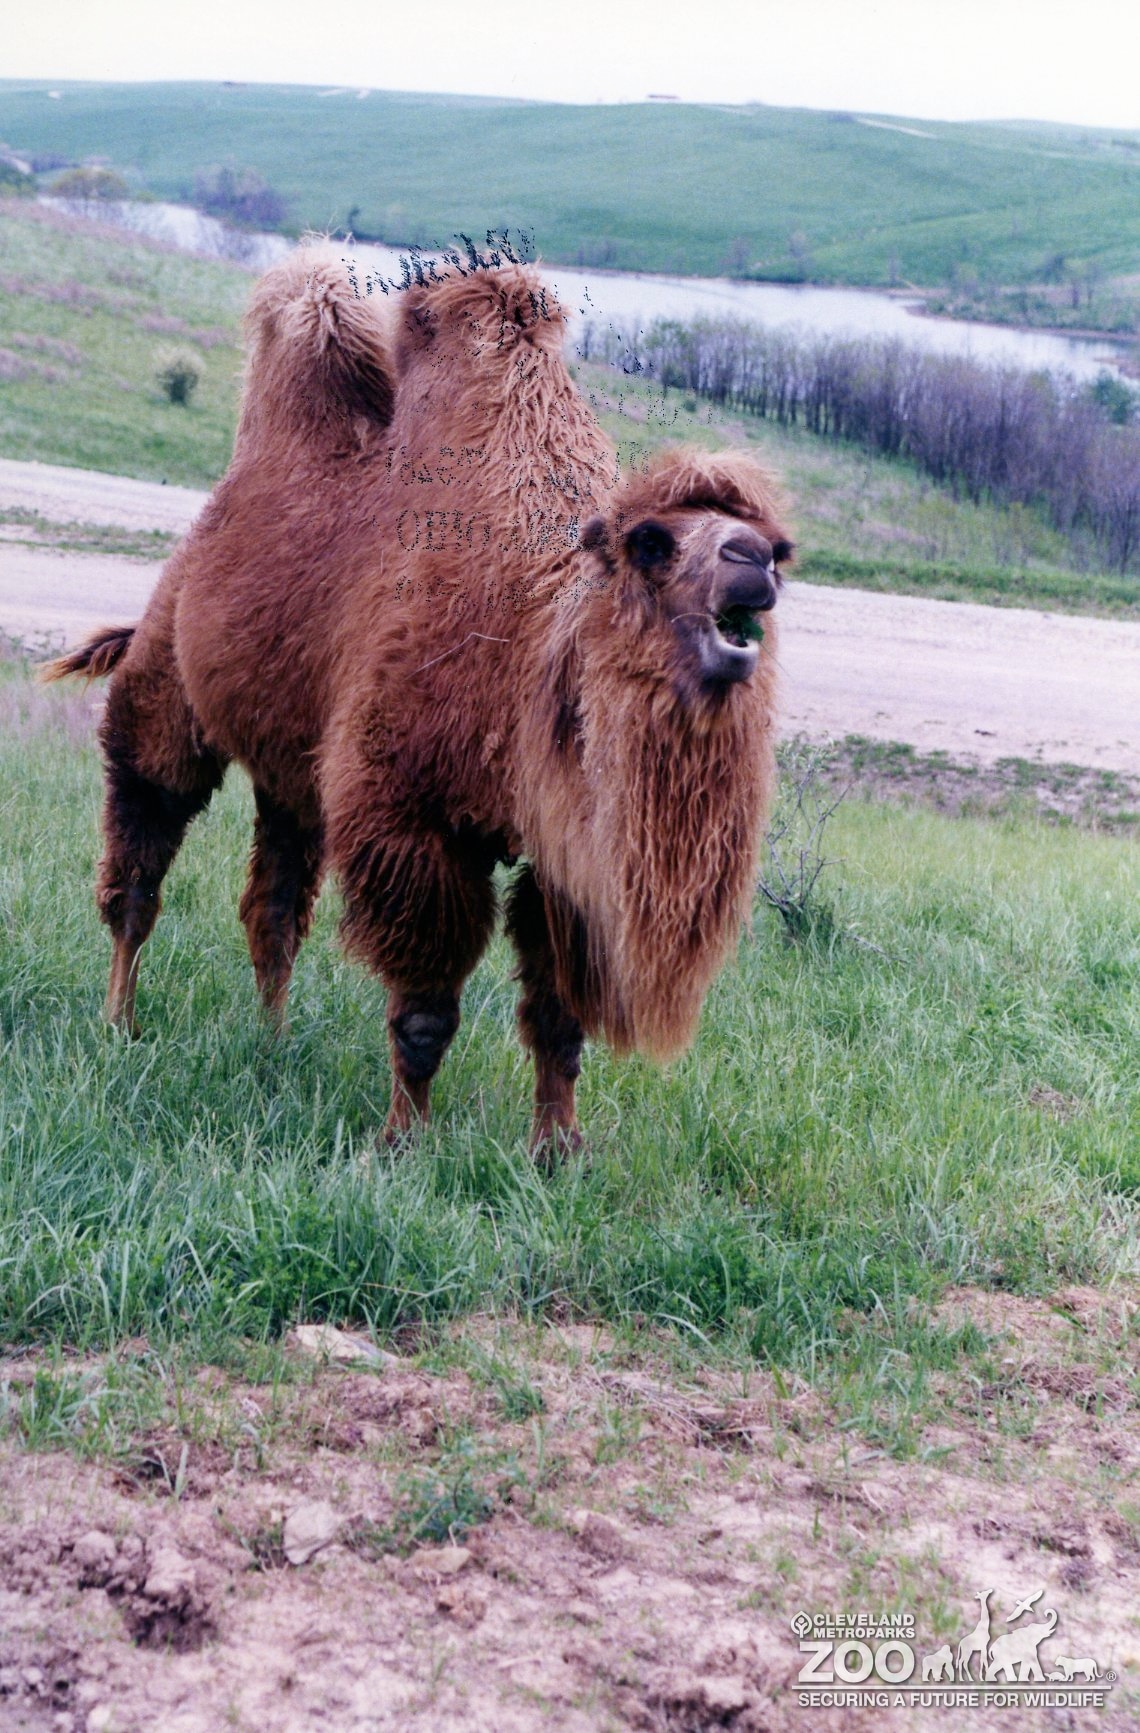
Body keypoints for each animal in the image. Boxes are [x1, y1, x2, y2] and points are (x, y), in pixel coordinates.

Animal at [44, 248, 792, 1149]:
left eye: (780, 546)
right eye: (652, 541)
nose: (753, 563)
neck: (530, 646)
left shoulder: (560, 855)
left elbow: (559, 1016)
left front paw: (556, 1150)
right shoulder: (411, 816)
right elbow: (426, 1009)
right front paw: (402, 1140)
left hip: (293, 770)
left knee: (272, 909)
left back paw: (271, 1043)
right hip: (166, 691)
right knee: (140, 863)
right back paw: (120, 1021)